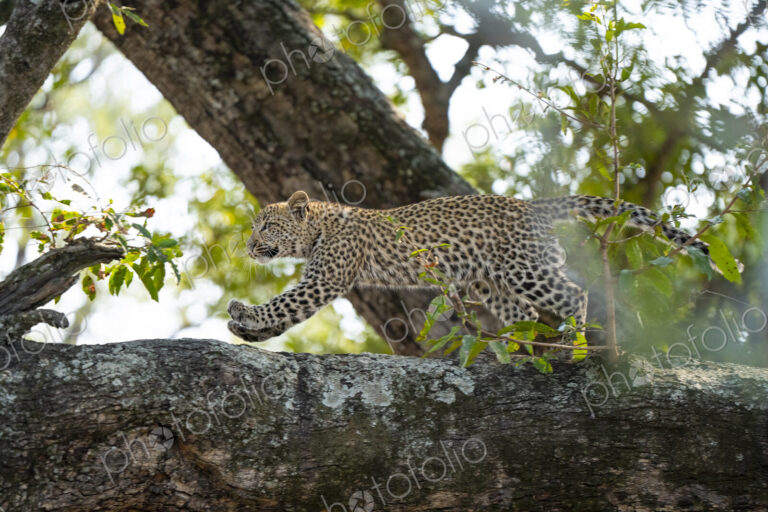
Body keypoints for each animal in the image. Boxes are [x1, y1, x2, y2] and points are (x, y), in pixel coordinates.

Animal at [227, 190, 717, 344]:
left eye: (266, 225)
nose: (248, 246)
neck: (319, 227)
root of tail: (533, 205)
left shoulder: (325, 278)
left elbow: (285, 303)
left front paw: (247, 314)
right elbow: (286, 314)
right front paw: (247, 329)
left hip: (525, 270)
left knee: (573, 294)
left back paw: (573, 343)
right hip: (494, 282)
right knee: (524, 313)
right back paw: (517, 355)